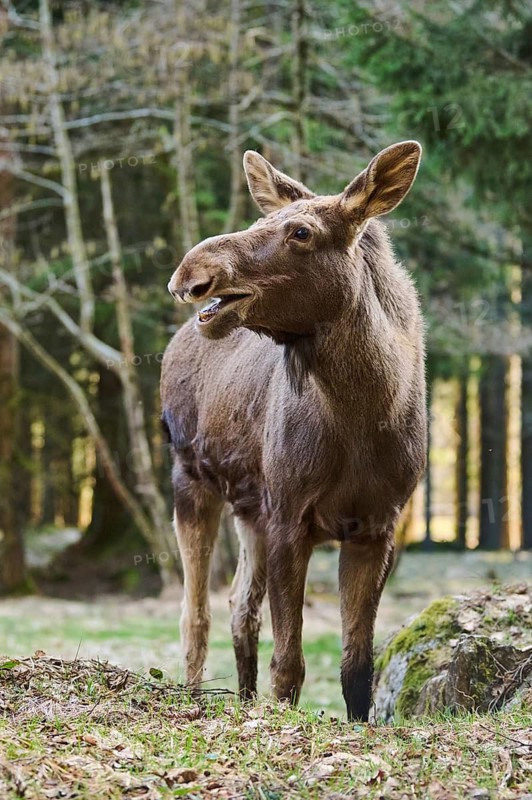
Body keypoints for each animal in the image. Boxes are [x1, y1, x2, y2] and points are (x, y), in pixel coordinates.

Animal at [160, 141, 427, 721]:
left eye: (301, 231)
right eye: (262, 220)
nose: (190, 272)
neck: (363, 416)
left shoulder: (377, 528)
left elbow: (356, 667)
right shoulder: (289, 517)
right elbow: (289, 665)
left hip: (250, 510)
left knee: (240, 607)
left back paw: (241, 699)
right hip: (190, 479)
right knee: (196, 614)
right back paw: (194, 699)